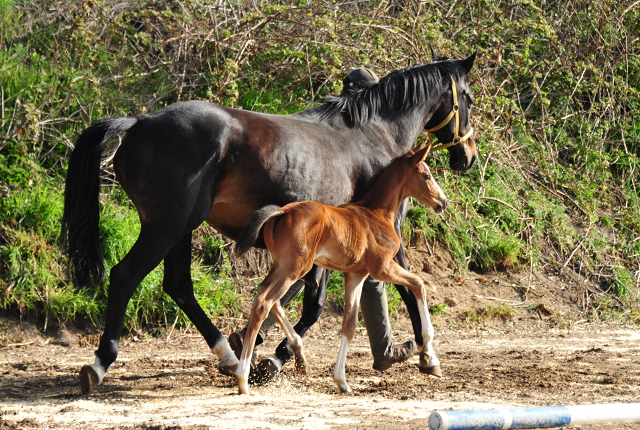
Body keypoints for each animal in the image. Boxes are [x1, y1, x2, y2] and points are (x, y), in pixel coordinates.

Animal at [232, 146, 448, 394]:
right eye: (427, 176)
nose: (443, 202)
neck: (377, 214)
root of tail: (282, 211)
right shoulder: (382, 268)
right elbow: (419, 284)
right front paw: (430, 358)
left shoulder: (356, 275)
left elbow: (349, 324)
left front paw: (341, 380)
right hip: (295, 268)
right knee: (264, 303)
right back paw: (243, 379)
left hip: (282, 266)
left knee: (265, 295)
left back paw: (300, 357)